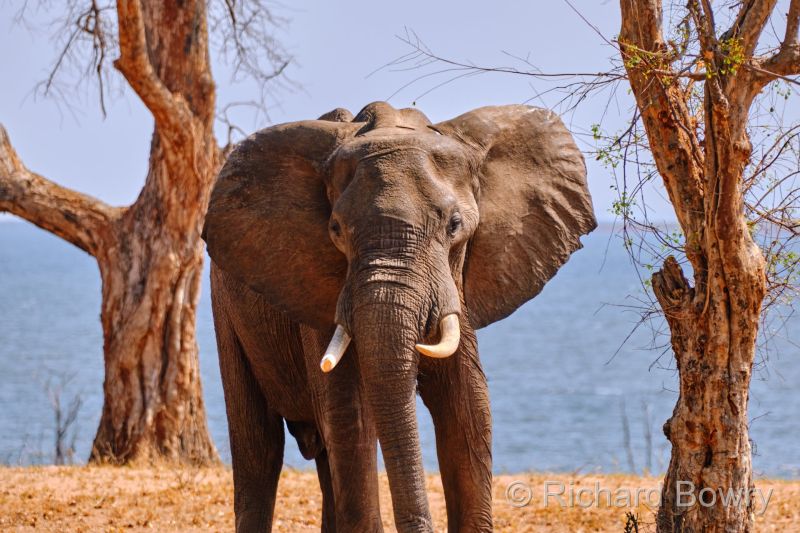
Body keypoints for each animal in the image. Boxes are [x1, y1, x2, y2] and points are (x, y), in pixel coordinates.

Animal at [202, 101, 596, 532]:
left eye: (454, 225)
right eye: (336, 230)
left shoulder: (457, 289)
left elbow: (469, 409)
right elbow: (352, 417)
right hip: (224, 305)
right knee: (259, 446)